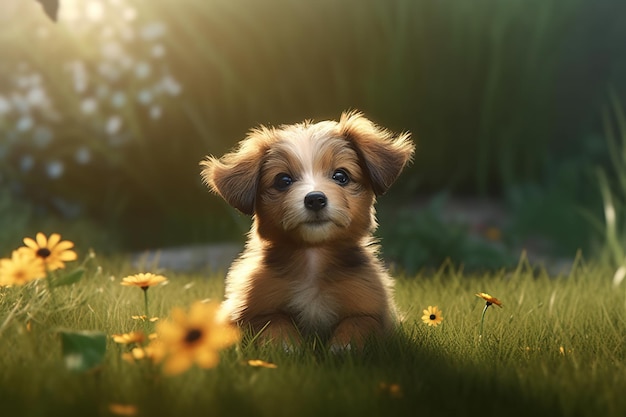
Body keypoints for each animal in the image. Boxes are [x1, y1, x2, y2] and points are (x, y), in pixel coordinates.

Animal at [201, 110, 414, 348]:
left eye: (341, 176)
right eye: (283, 180)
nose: (315, 199)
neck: (313, 258)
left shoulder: (373, 309)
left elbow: (359, 323)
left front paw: (343, 346)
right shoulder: (251, 310)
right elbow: (273, 320)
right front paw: (286, 345)